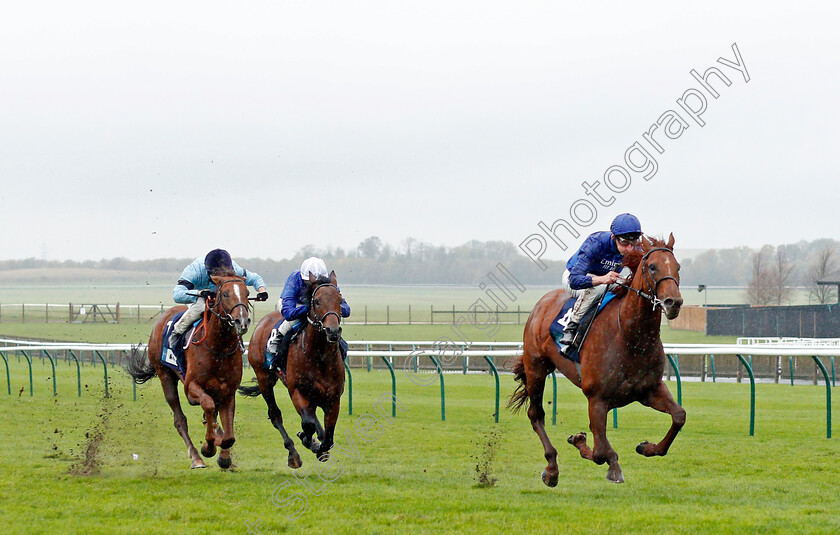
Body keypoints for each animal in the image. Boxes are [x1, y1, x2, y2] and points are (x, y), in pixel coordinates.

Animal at [124, 274, 249, 472]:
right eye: (225, 294)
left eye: (247, 293)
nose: (242, 321)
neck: (218, 349)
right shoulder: (191, 388)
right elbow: (207, 406)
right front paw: (208, 447)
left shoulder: (228, 391)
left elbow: (228, 435)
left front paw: (224, 456)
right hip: (165, 376)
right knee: (180, 419)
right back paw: (196, 458)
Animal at [238, 272, 346, 468]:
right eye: (316, 301)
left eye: (340, 300)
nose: (333, 331)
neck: (319, 356)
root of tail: (262, 322)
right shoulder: (296, 391)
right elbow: (308, 424)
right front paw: (307, 440)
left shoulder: (333, 398)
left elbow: (328, 437)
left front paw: (319, 446)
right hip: (264, 378)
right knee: (275, 415)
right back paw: (293, 453)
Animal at [508, 234, 684, 486]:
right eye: (652, 266)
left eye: (677, 267)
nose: (673, 302)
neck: (631, 338)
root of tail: (543, 302)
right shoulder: (597, 398)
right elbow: (601, 452)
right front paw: (601, 458)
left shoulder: (649, 390)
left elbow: (679, 416)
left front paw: (647, 447)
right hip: (536, 368)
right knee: (536, 414)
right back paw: (551, 469)